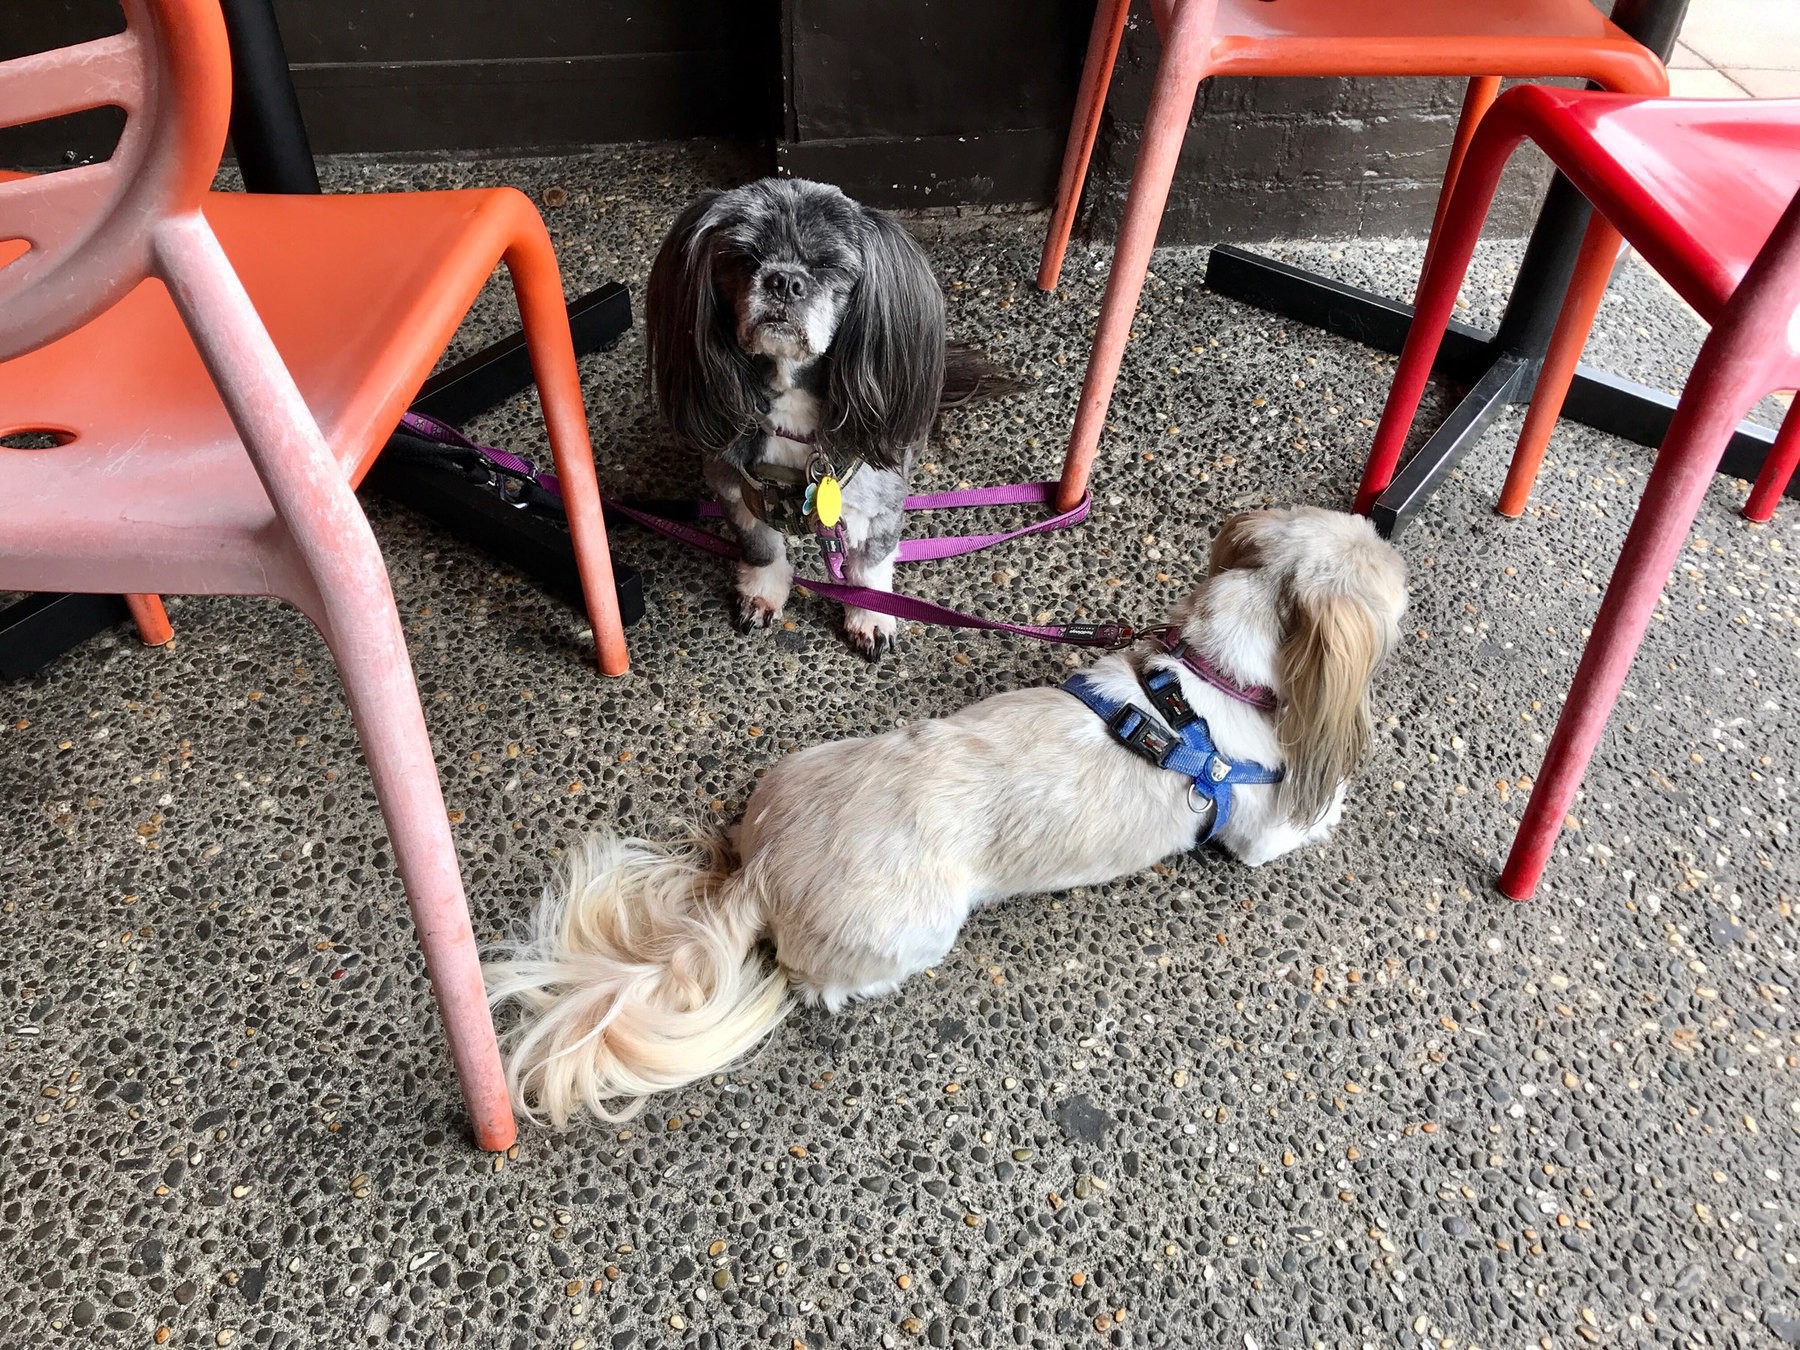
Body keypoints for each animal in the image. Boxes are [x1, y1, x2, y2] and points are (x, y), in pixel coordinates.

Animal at [489, 507, 1404, 1130]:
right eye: (1393, 585)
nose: (1393, 527)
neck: (1197, 689)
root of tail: (763, 872)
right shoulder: (1259, 828)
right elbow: (1315, 811)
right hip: (917, 931)